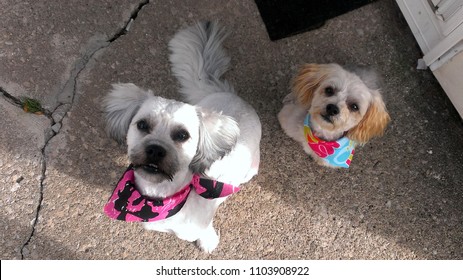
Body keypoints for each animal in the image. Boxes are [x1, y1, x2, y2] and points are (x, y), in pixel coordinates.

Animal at [102, 21, 260, 253]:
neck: (159, 198)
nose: (155, 149)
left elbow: (205, 229)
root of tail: (230, 94)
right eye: (142, 125)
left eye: (183, 135)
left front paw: (208, 241)